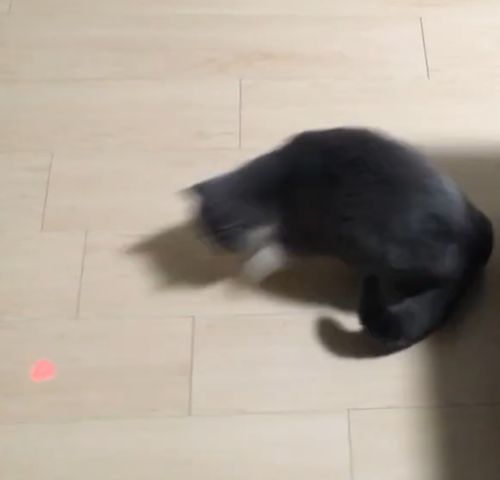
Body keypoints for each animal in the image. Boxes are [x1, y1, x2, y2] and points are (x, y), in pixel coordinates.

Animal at [185, 127, 494, 351]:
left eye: (217, 237)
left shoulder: (305, 233)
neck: (271, 185)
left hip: (385, 250)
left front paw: (247, 273)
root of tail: (475, 245)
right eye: (202, 235)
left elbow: (275, 252)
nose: (211, 248)